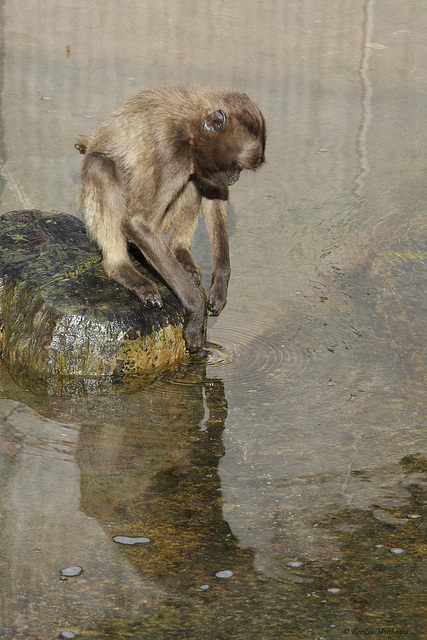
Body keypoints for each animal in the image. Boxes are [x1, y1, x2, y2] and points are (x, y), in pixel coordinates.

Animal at [75, 85, 266, 352]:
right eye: (236, 166)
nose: (235, 177)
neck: (191, 125)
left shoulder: (199, 157)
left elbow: (214, 190)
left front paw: (220, 284)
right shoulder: (172, 151)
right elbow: (138, 224)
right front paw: (196, 314)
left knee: (194, 178)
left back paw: (179, 250)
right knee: (99, 164)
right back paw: (120, 267)